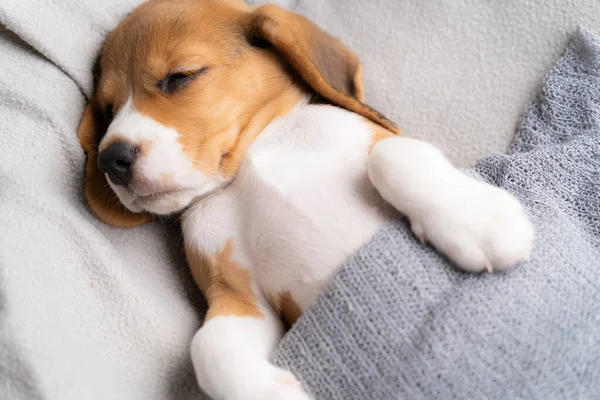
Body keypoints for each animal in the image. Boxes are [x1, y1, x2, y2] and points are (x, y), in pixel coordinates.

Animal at [76, 1, 536, 398]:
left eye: (180, 76)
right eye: (109, 108)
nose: (110, 158)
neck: (254, 159)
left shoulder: (375, 140)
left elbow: (393, 154)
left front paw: (483, 222)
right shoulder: (240, 298)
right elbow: (209, 346)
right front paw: (269, 392)